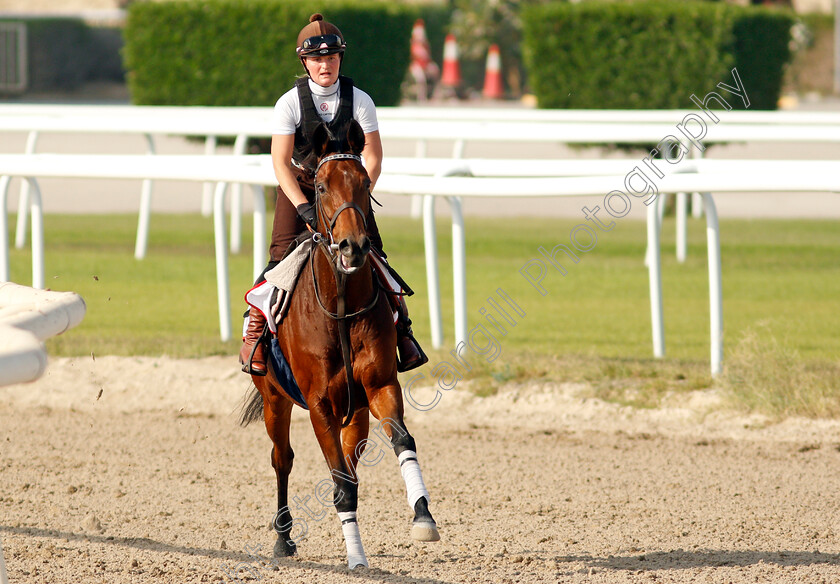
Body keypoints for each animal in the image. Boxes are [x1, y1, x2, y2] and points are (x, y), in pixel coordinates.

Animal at [238, 120, 440, 572]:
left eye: (364, 182)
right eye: (321, 186)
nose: (353, 245)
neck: (341, 306)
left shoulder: (380, 385)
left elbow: (402, 443)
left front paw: (423, 517)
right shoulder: (318, 404)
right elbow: (339, 483)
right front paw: (356, 557)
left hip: (356, 414)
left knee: (350, 463)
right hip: (274, 398)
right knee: (282, 459)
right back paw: (283, 539)